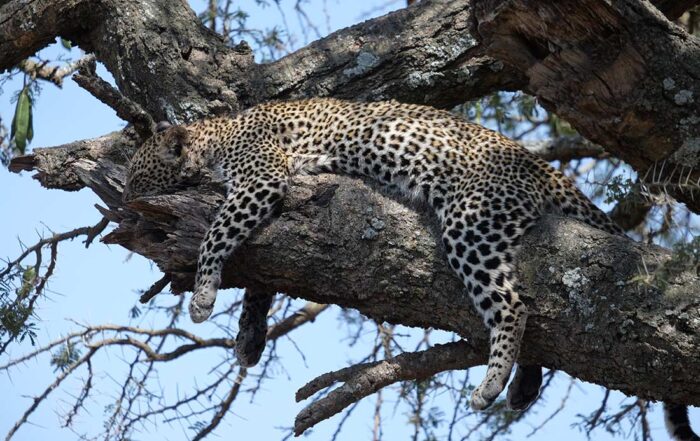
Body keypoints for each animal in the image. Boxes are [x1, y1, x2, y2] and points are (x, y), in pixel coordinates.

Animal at [123, 98, 697, 439]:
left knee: (512, 305)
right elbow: (261, 281)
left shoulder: (261, 179)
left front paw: (202, 294)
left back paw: (491, 386)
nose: (124, 204)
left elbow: (218, 234)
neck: (212, 138)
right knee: (530, 307)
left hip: (470, 222)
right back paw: (522, 387)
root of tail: (543, 167)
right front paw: (248, 337)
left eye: (137, 178)